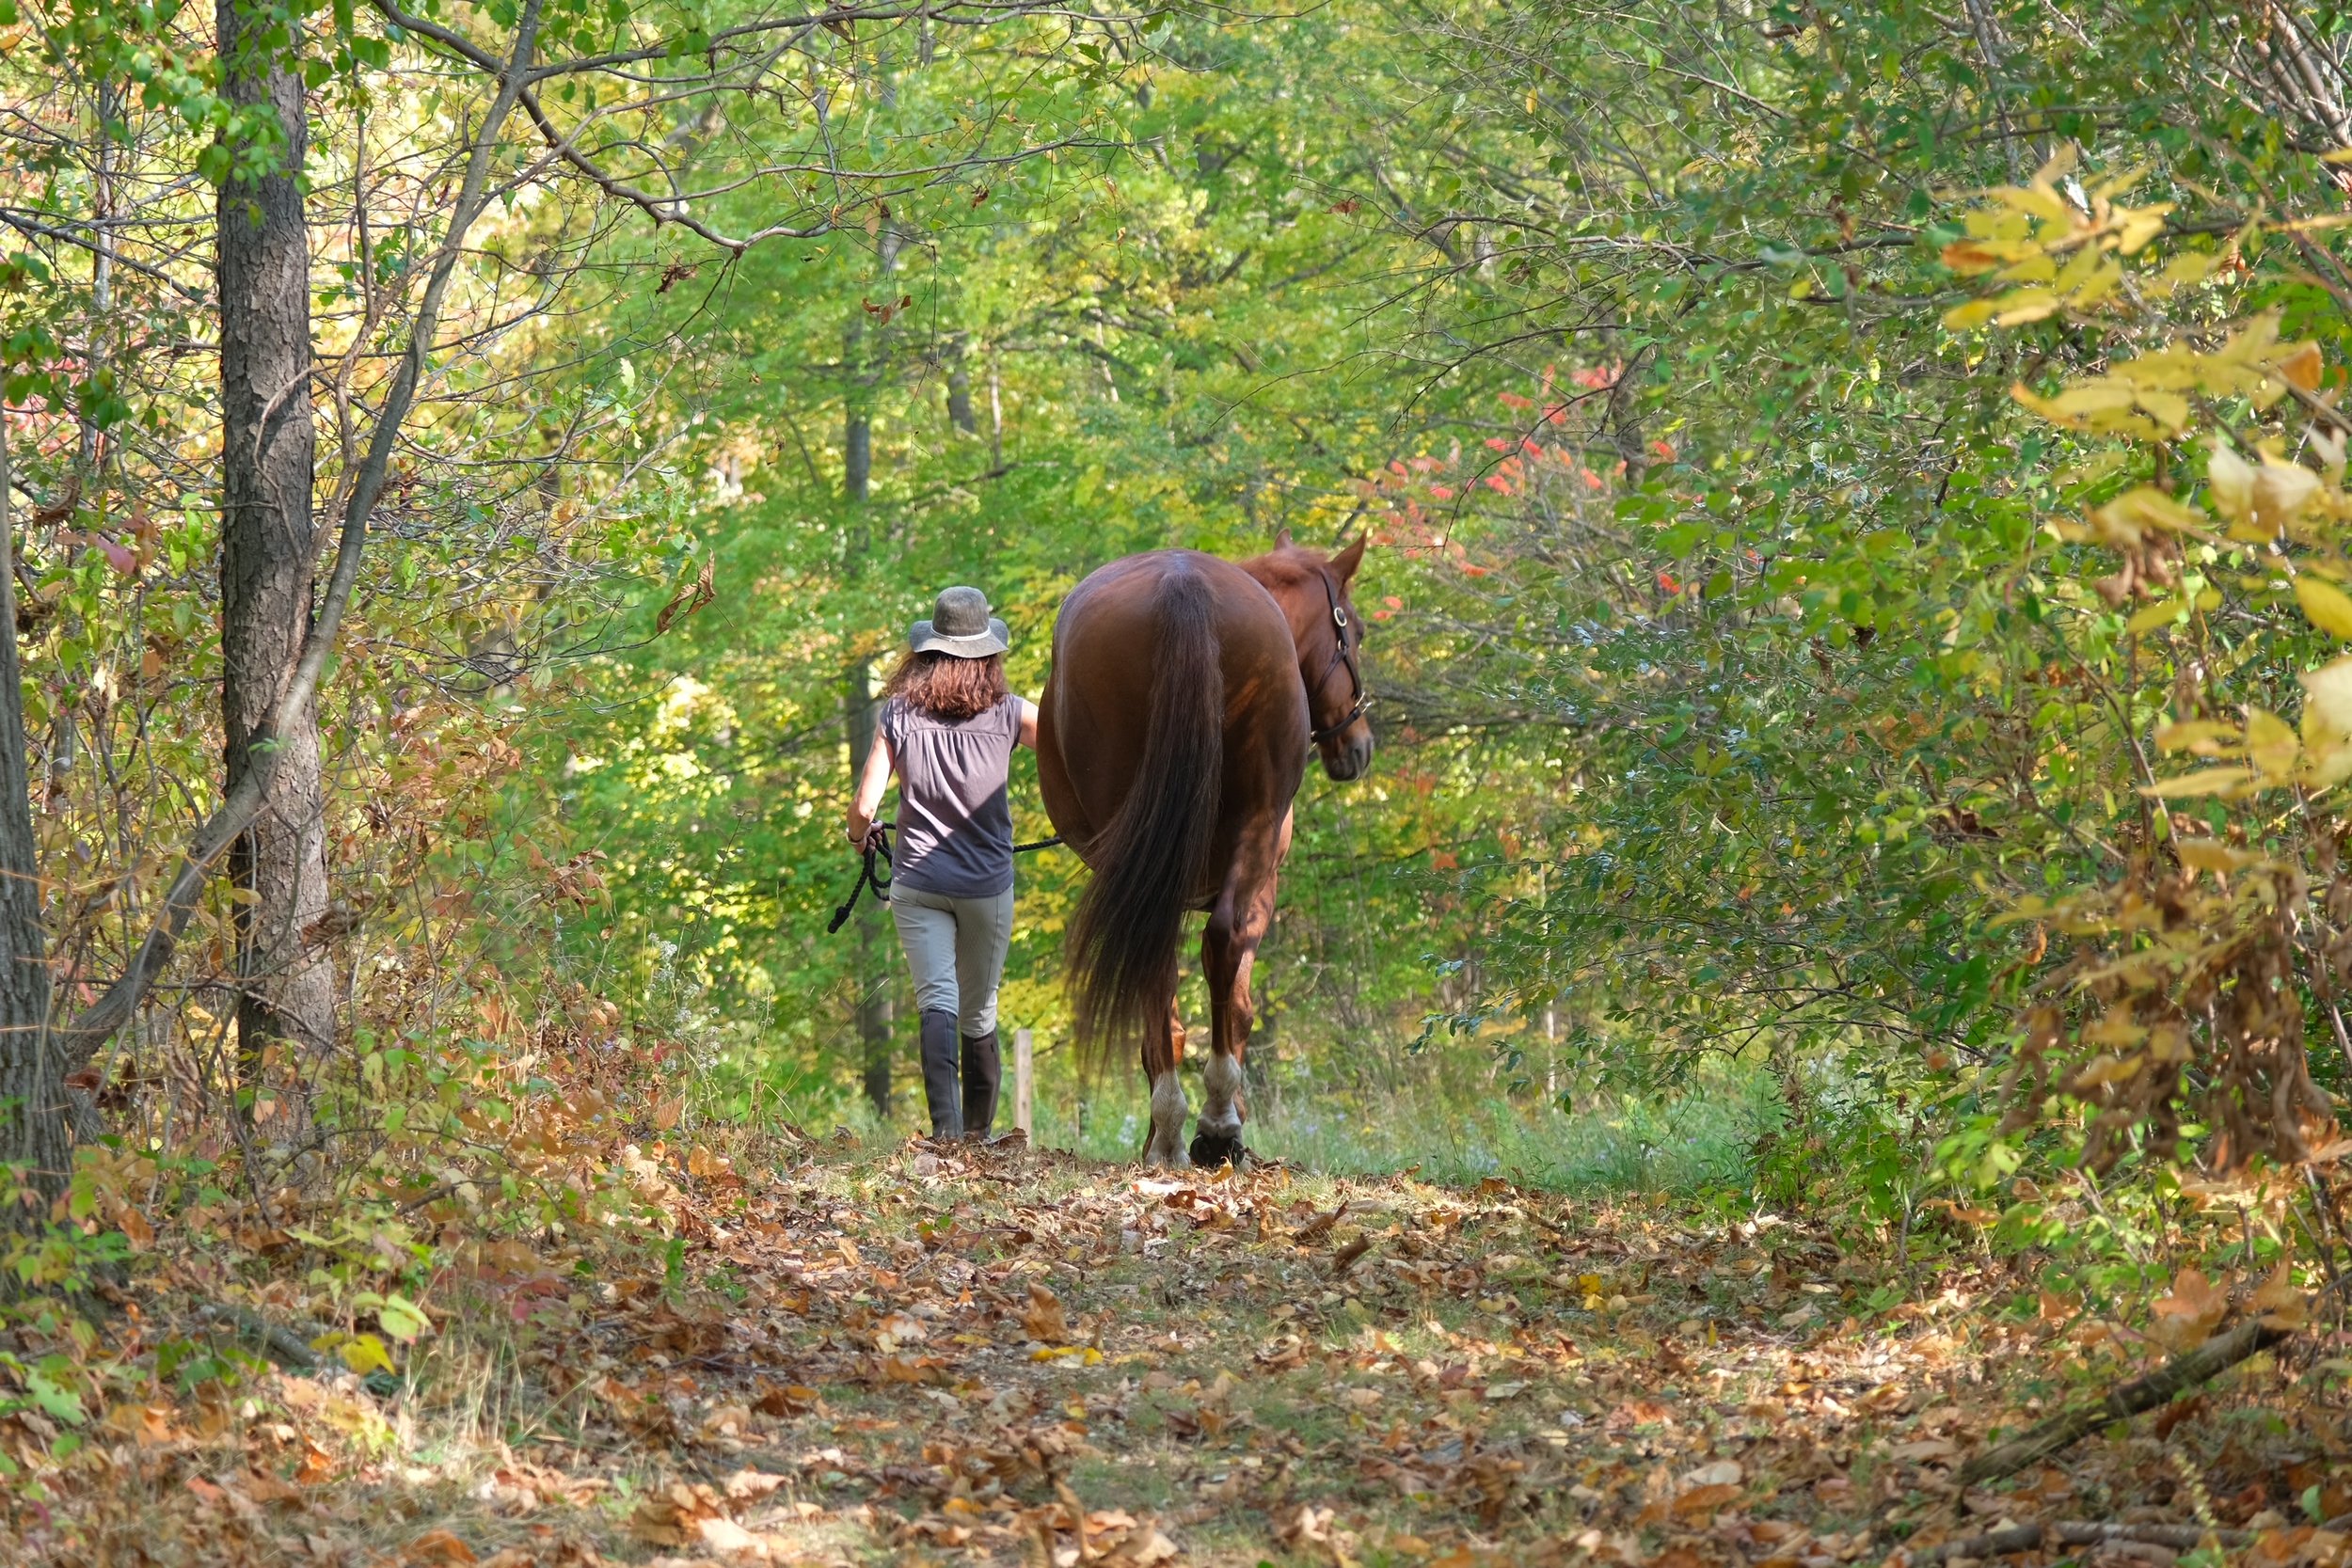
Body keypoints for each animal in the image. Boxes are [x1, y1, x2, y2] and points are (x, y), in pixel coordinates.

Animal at [1040, 540, 1374, 1165]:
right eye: (1356, 631)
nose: (1359, 745)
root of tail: (1183, 583)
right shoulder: (1261, 887)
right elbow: (1238, 1003)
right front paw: (1224, 1120)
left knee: (1160, 971)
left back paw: (1175, 1128)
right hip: (1251, 835)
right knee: (1210, 951)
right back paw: (1209, 1123)